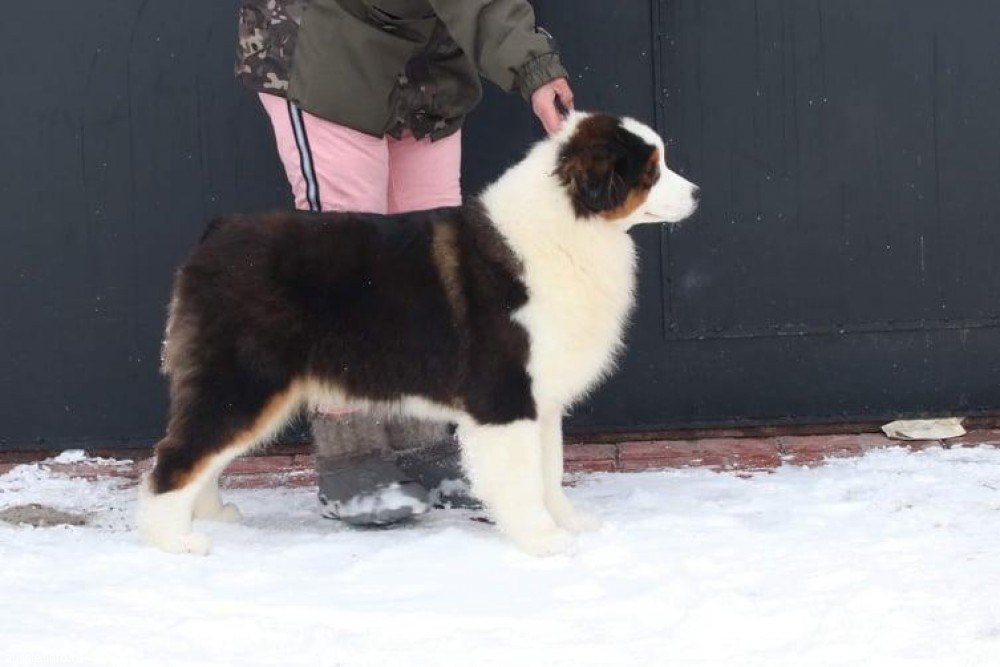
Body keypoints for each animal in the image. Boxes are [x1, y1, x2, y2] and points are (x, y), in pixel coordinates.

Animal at [136, 111, 699, 556]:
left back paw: (209, 514)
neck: (570, 227)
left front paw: (571, 522)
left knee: (201, 452)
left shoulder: (541, 395)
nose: (697, 193)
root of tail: (215, 234)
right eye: (651, 172)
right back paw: (175, 540)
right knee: (176, 456)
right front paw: (543, 540)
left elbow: (550, 470)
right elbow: (522, 479)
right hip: (244, 381)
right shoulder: (505, 395)